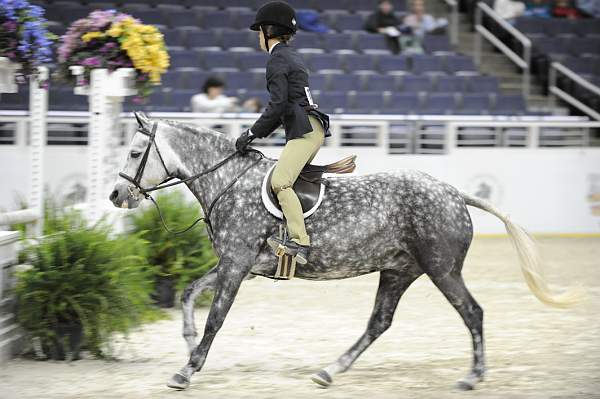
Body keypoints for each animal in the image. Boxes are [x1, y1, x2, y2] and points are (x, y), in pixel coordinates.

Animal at [109, 113, 580, 394]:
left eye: (134, 152)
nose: (116, 195)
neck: (228, 181)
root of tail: (452, 192)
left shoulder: (238, 264)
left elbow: (216, 318)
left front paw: (187, 369)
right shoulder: (236, 263)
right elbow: (190, 293)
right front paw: (188, 342)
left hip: (442, 269)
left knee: (472, 313)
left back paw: (472, 376)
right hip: (399, 270)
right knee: (379, 322)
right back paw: (329, 371)